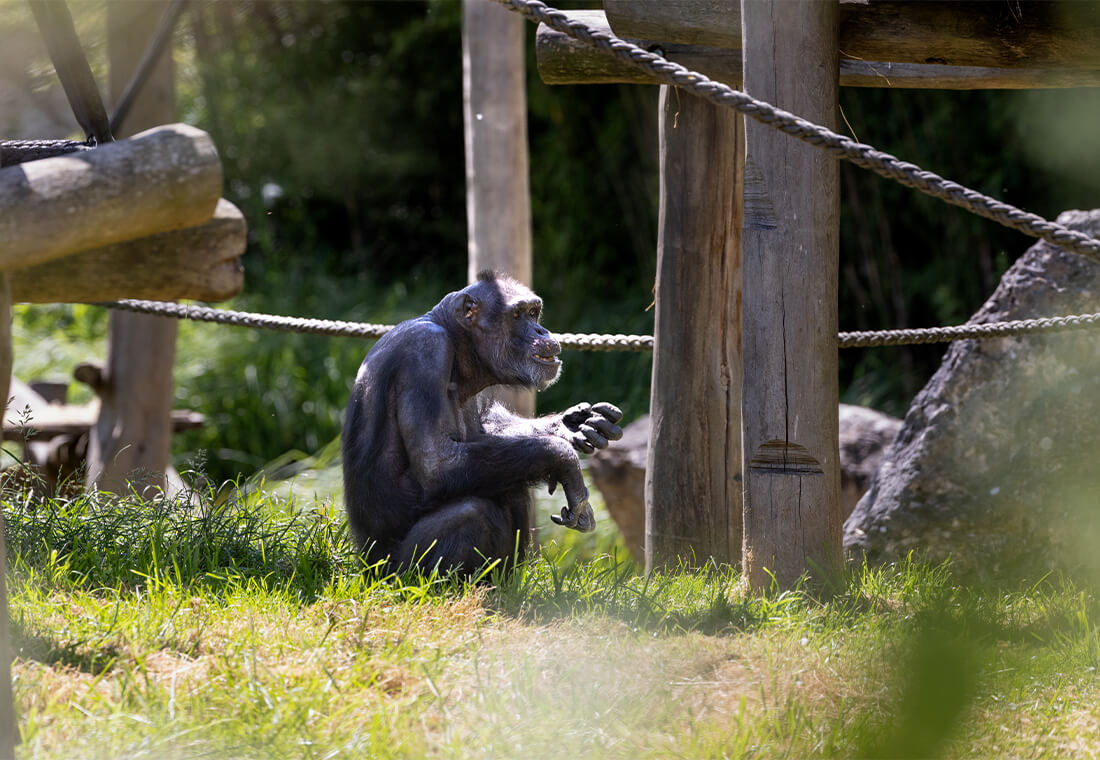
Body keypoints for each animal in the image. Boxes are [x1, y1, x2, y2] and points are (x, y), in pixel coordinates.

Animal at [338, 270, 624, 571]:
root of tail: (362, 565)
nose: (541, 331)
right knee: (471, 513)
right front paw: (565, 461)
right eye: (518, 315)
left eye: (533, 313)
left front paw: (569, 425)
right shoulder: (426, 352)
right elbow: (438, 462)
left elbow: (487, 425)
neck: (457, 345)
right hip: (391, 571)